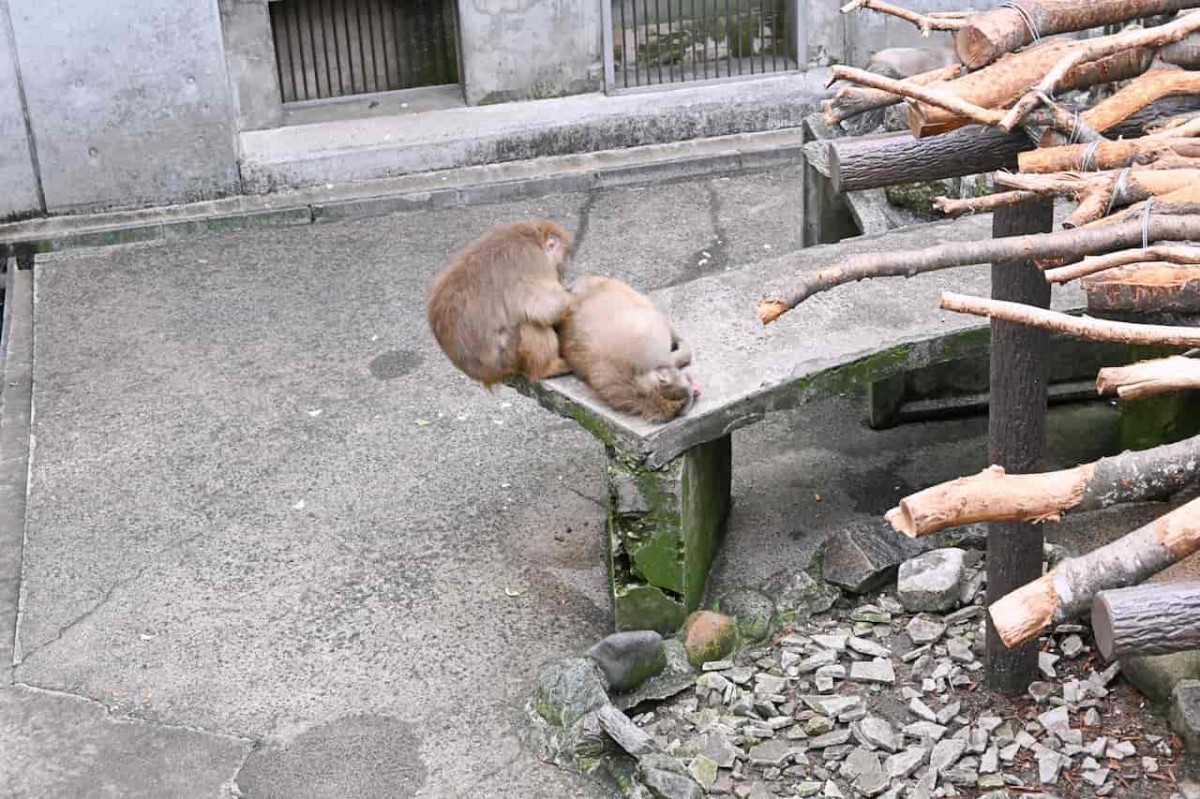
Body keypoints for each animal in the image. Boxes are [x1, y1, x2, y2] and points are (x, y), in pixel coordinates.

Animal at [427, 219, 576, 386]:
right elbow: (545, 308)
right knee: (527, 324)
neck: (533, 239)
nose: (561, 272)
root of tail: (482, 375)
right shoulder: (534, 261)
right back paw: (547, 368)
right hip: (508, 356)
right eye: (561, 261)